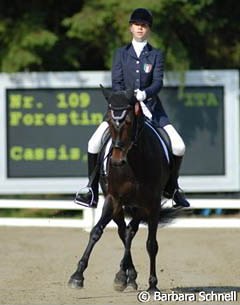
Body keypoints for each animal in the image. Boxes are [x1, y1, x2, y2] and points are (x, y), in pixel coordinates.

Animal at [68, 87, 171, 290]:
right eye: (108, 121)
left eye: (129, 121)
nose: (116, 161)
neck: (135, 161)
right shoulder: (113, 199)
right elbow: (96, 232)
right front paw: (77, 275)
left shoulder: (152, 204)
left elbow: (151, 244)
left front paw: (153, 285)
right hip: (119, 204)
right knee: (124, 232)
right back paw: (125, 276)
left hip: (140, 206)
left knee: (130, 231)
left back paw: (127, 276)